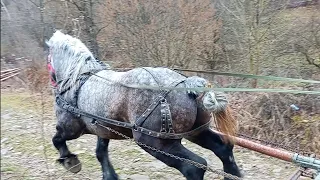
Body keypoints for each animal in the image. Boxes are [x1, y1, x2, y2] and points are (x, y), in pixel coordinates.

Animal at [46, 30, 241, 179]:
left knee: (194, 167)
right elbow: (100, 152)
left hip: (155, 143)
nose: (53, 81)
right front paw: (110, 176)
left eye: (48, 60)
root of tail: (187, 84)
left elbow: (57, 139)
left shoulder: (70, 129)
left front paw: (70, 161)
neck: (76, 78)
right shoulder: (103, 128)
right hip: (196, 132)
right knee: (223, 149)